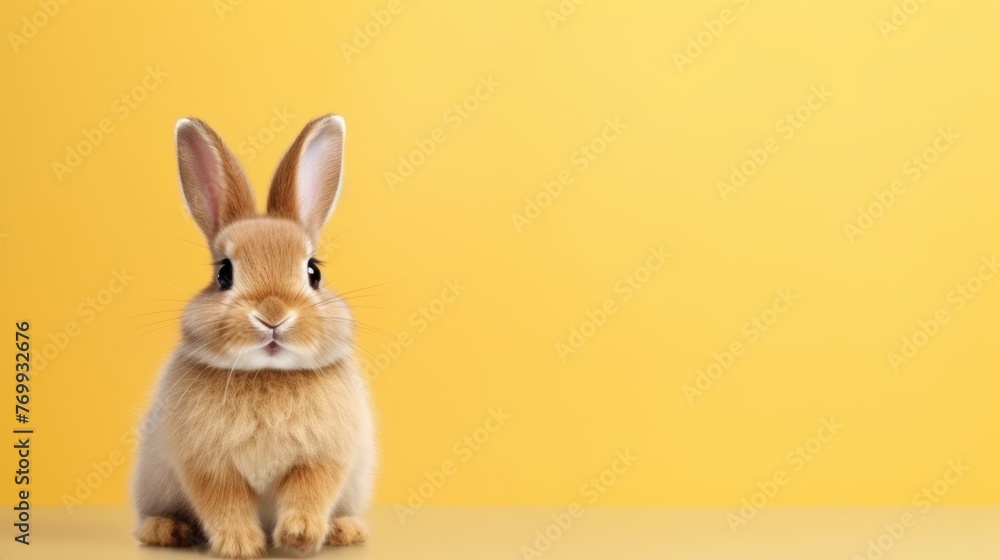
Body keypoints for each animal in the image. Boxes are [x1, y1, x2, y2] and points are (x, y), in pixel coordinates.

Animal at [131, 115, 376, 559]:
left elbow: (310, 493)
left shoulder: (323, 459)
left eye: (314, 271)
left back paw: (345, 531)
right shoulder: (207, 465)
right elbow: (224, 503)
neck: (267, 374)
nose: (272, 315)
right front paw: (241, 545)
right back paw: (165, 531)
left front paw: (298, 536)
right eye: (224, 273)